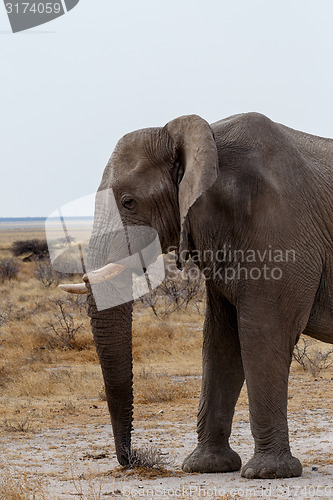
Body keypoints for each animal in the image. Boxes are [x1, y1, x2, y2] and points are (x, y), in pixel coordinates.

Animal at [61, 114, 332, 480]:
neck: (206, 141)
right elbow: (220, 341)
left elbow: (263, 332)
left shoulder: (282, 231)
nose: (132, 458)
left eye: (129, 201)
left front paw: (269, 473)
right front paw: (206, 467)